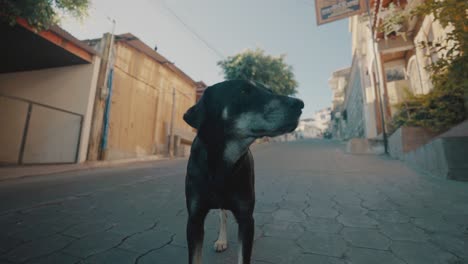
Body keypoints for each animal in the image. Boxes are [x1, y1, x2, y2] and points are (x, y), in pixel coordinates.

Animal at [183, 80, 304, 264]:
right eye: (244, 91)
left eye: (269, 91)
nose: (300, 104)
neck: (222, 164)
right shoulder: (194, 220)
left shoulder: (246, 218)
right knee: (223, 216)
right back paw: (221, 240)